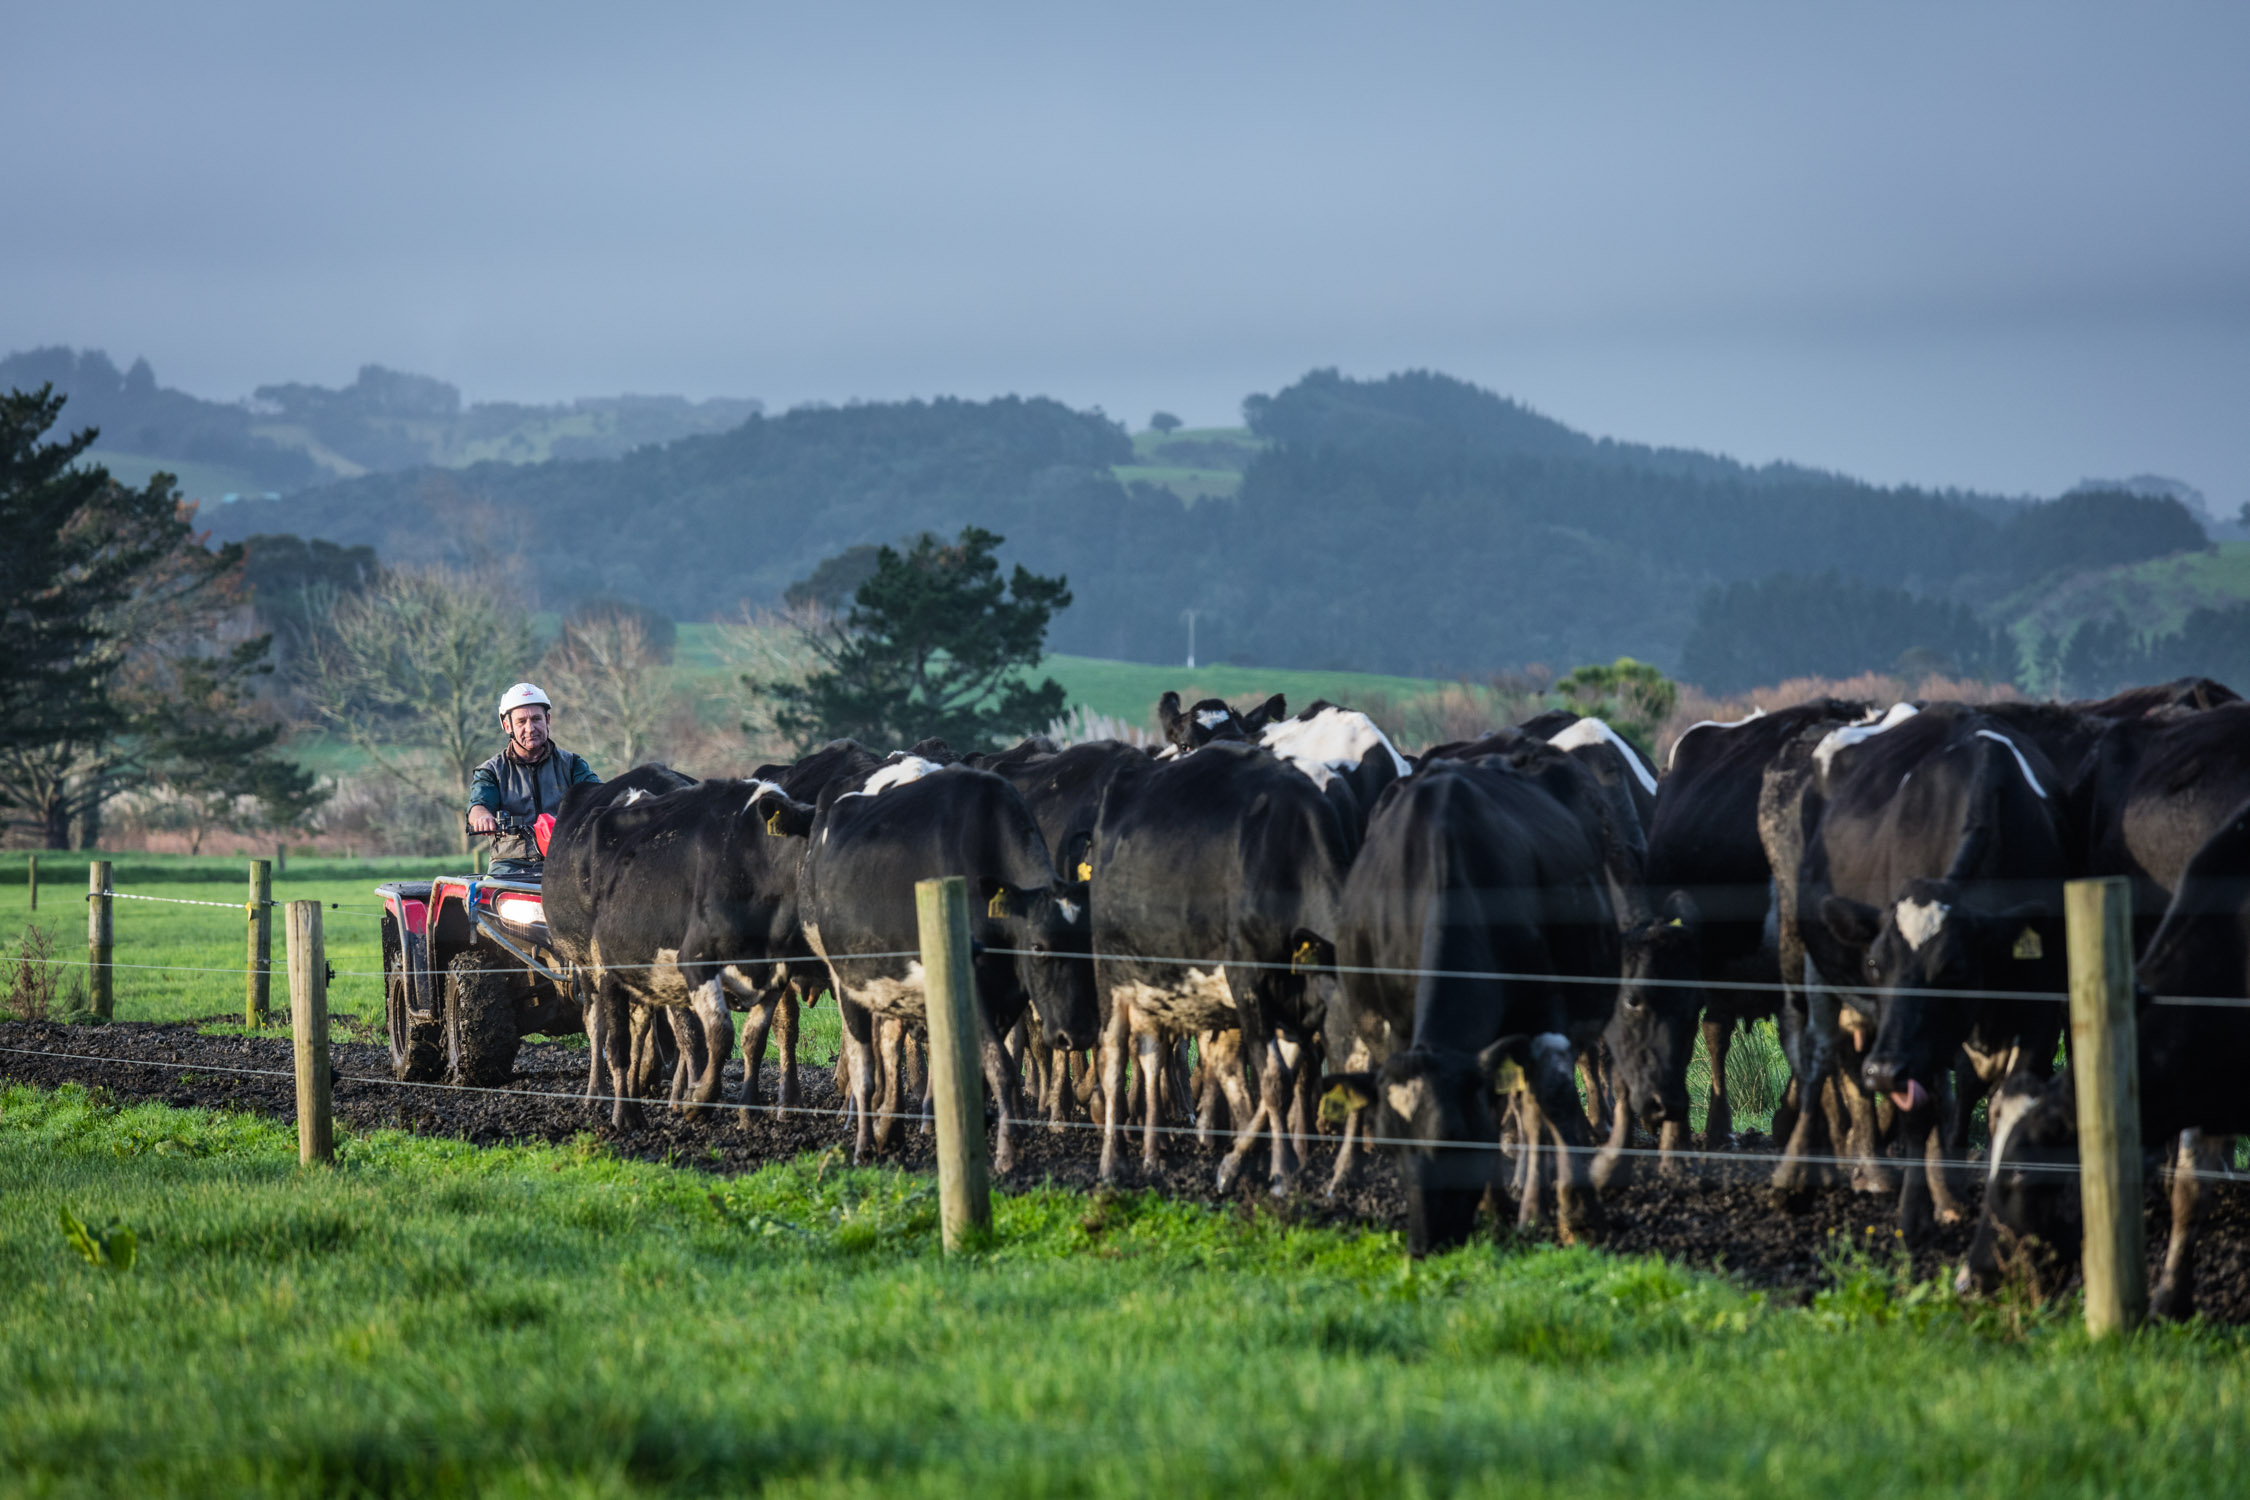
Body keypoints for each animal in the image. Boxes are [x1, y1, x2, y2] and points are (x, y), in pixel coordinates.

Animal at [796, 764, 1102, 1169]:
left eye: (1090, 945)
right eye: (1037, 946)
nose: (1077, 1034)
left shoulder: (1007, 996)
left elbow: (987, 1071)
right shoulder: (972, 987)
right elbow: (1001, 1066)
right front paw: (1007, 1152)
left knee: (888, 1047)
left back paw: (889, 1132)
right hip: (845, 977)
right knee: (863, 1064)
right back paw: (863, 1143)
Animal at [1089, 742, 1350, 1196]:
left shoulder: (1296, 1005)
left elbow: (1282, 1075)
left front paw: (1237, 1164)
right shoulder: (1249, 980)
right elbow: (1273, 1079)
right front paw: (1284, 1171)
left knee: (1185, 1060)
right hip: (1112, 976)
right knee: (1113, 1059)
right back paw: (1112, 1163)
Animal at [1323, 751, 1629, 1259]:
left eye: (1453, 1138)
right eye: (1392, 1146)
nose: (1425, 1244)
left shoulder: (1544, 1011)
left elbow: (1554, 1098)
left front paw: (1579, 1217)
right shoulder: (1396, 1029)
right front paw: (1491, 1205)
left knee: (1532, 1105)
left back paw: (1534, 1204)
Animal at [1800, 706, 2061, 1241]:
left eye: (1953, 968)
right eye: (1875, 964)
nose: (1883, 1070)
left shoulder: (2045, 1006)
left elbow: (2014, 1105)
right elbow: (1921, 1110)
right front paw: (1913, 1215)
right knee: (1827, 1055)